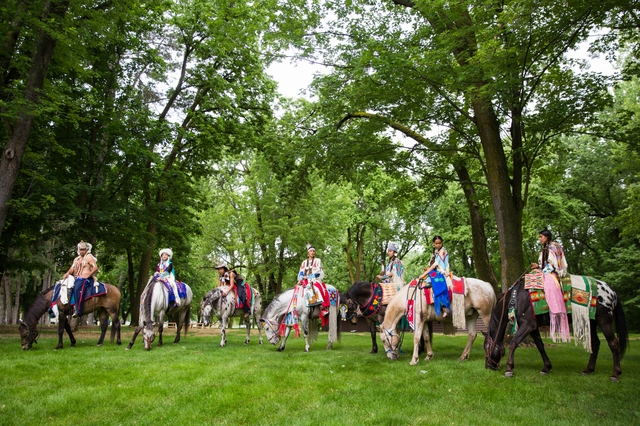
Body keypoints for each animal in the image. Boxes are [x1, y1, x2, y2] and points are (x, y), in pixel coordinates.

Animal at [482, 276, 628, 382]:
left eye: (486, 347)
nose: (488, 366)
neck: (517, 296)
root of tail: (612, 291)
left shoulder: (528, 325)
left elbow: (513, 343)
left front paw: (509, 368)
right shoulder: (533, 328)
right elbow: (540, 346)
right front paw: (546, 367)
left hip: (604, 321)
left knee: (613, 344)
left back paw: (615, 374)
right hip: (590, 323)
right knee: (596, 344)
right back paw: (588, 370)